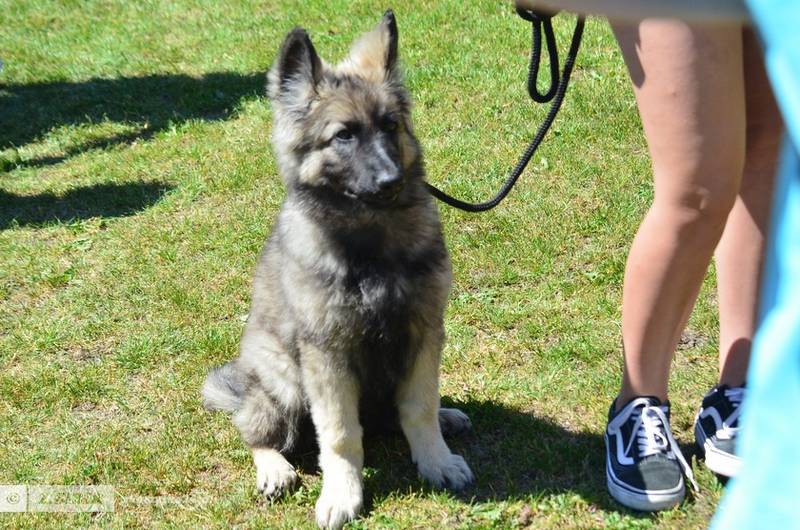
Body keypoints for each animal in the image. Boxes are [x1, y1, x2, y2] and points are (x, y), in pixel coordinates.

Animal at [202, 11, 473, 529]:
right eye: (343, 135)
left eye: (390, 125)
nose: (391, 181)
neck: (370, 241)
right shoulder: (327, 354)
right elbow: (342, 434)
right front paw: (342, 494)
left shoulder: (424, 330)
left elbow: (420, 407)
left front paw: (436, 459)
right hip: (285, 382)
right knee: (254, 430)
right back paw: (274, 467)